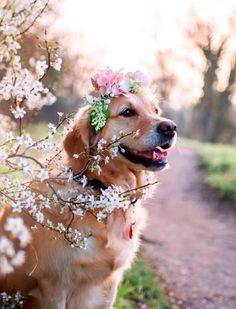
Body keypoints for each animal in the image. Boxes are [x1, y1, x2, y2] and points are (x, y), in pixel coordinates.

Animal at [0, 90, 176, 306]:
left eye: (155, 110)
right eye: (128, 112)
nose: (171, 127)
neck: (100, 189)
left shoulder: (110, 284)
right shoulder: (54, 285)